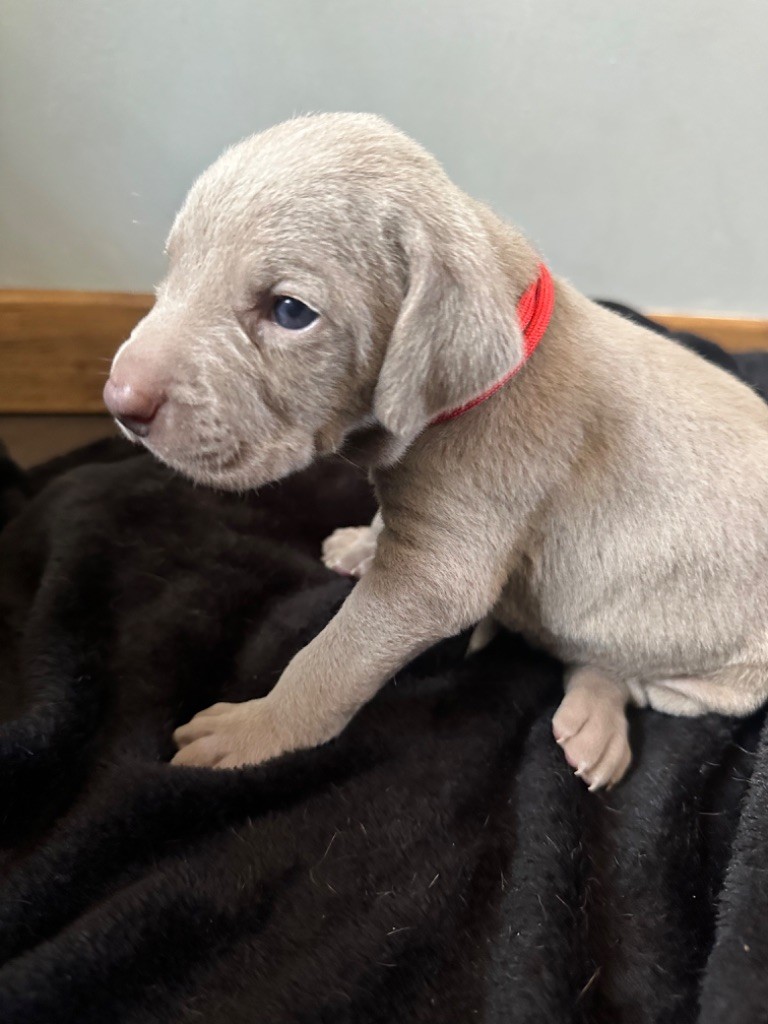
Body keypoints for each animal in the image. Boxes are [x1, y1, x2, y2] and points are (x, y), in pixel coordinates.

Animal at [103, 113, 768, 789]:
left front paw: (255, 729)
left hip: (722, 676)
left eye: (289, 311)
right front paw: (361, 544)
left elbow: (333, 659)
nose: (119, 400)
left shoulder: (439, 568)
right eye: (174, 267)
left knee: (622, 674)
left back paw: (595, 717)